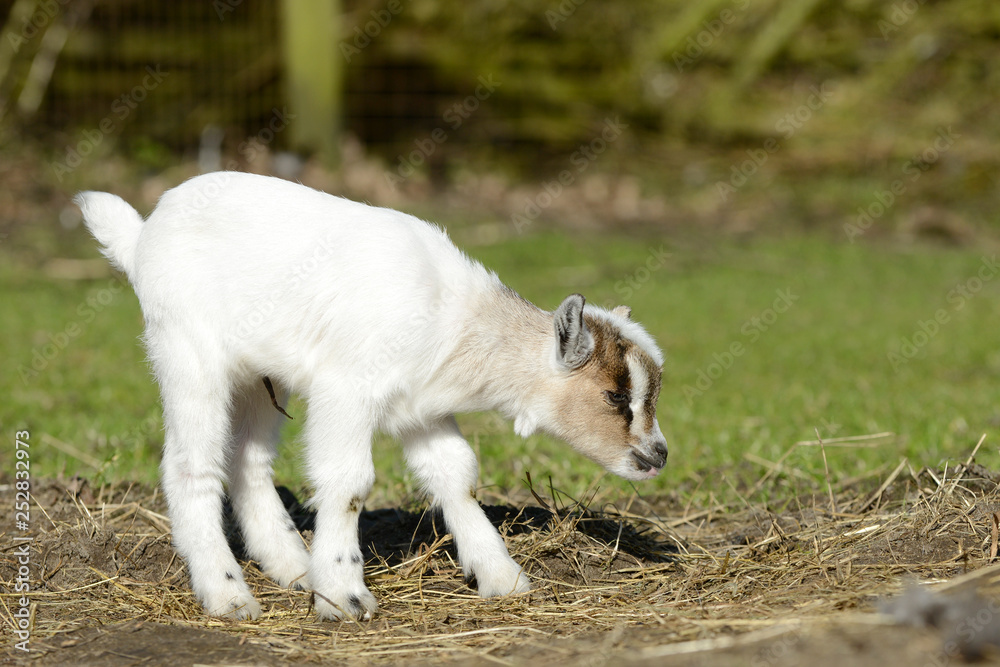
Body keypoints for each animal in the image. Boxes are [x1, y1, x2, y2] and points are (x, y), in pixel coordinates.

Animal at [76, 171, 668, 621]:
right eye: (615, 396)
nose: (658, 455)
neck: (452, 316)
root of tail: (142, 236)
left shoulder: (421, 407)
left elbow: (456, 473)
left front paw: (501, 577)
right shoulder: (347, 390)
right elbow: (349, 484)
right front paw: (343, 596)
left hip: (260, 377)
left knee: (248, 460)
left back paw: (294, 567)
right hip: (187, 351)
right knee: (190, 463)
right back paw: (228, 595)